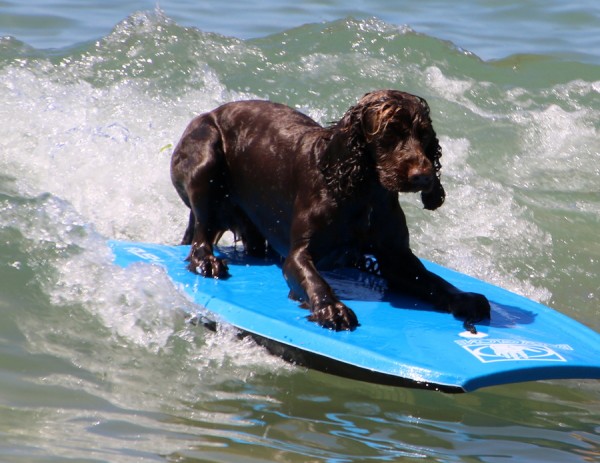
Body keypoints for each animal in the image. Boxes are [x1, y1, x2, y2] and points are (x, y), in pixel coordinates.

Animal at [171, 89, 490, 330]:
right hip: (206, 155)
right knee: (201, 233)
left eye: (424, 136)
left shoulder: (396, 258)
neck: (363, 193)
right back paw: (207, 261)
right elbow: (315, 281)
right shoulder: (299, 255)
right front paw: (333, 309)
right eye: (390, 134)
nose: (423, 177)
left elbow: (434, 281)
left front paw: (465, 299)